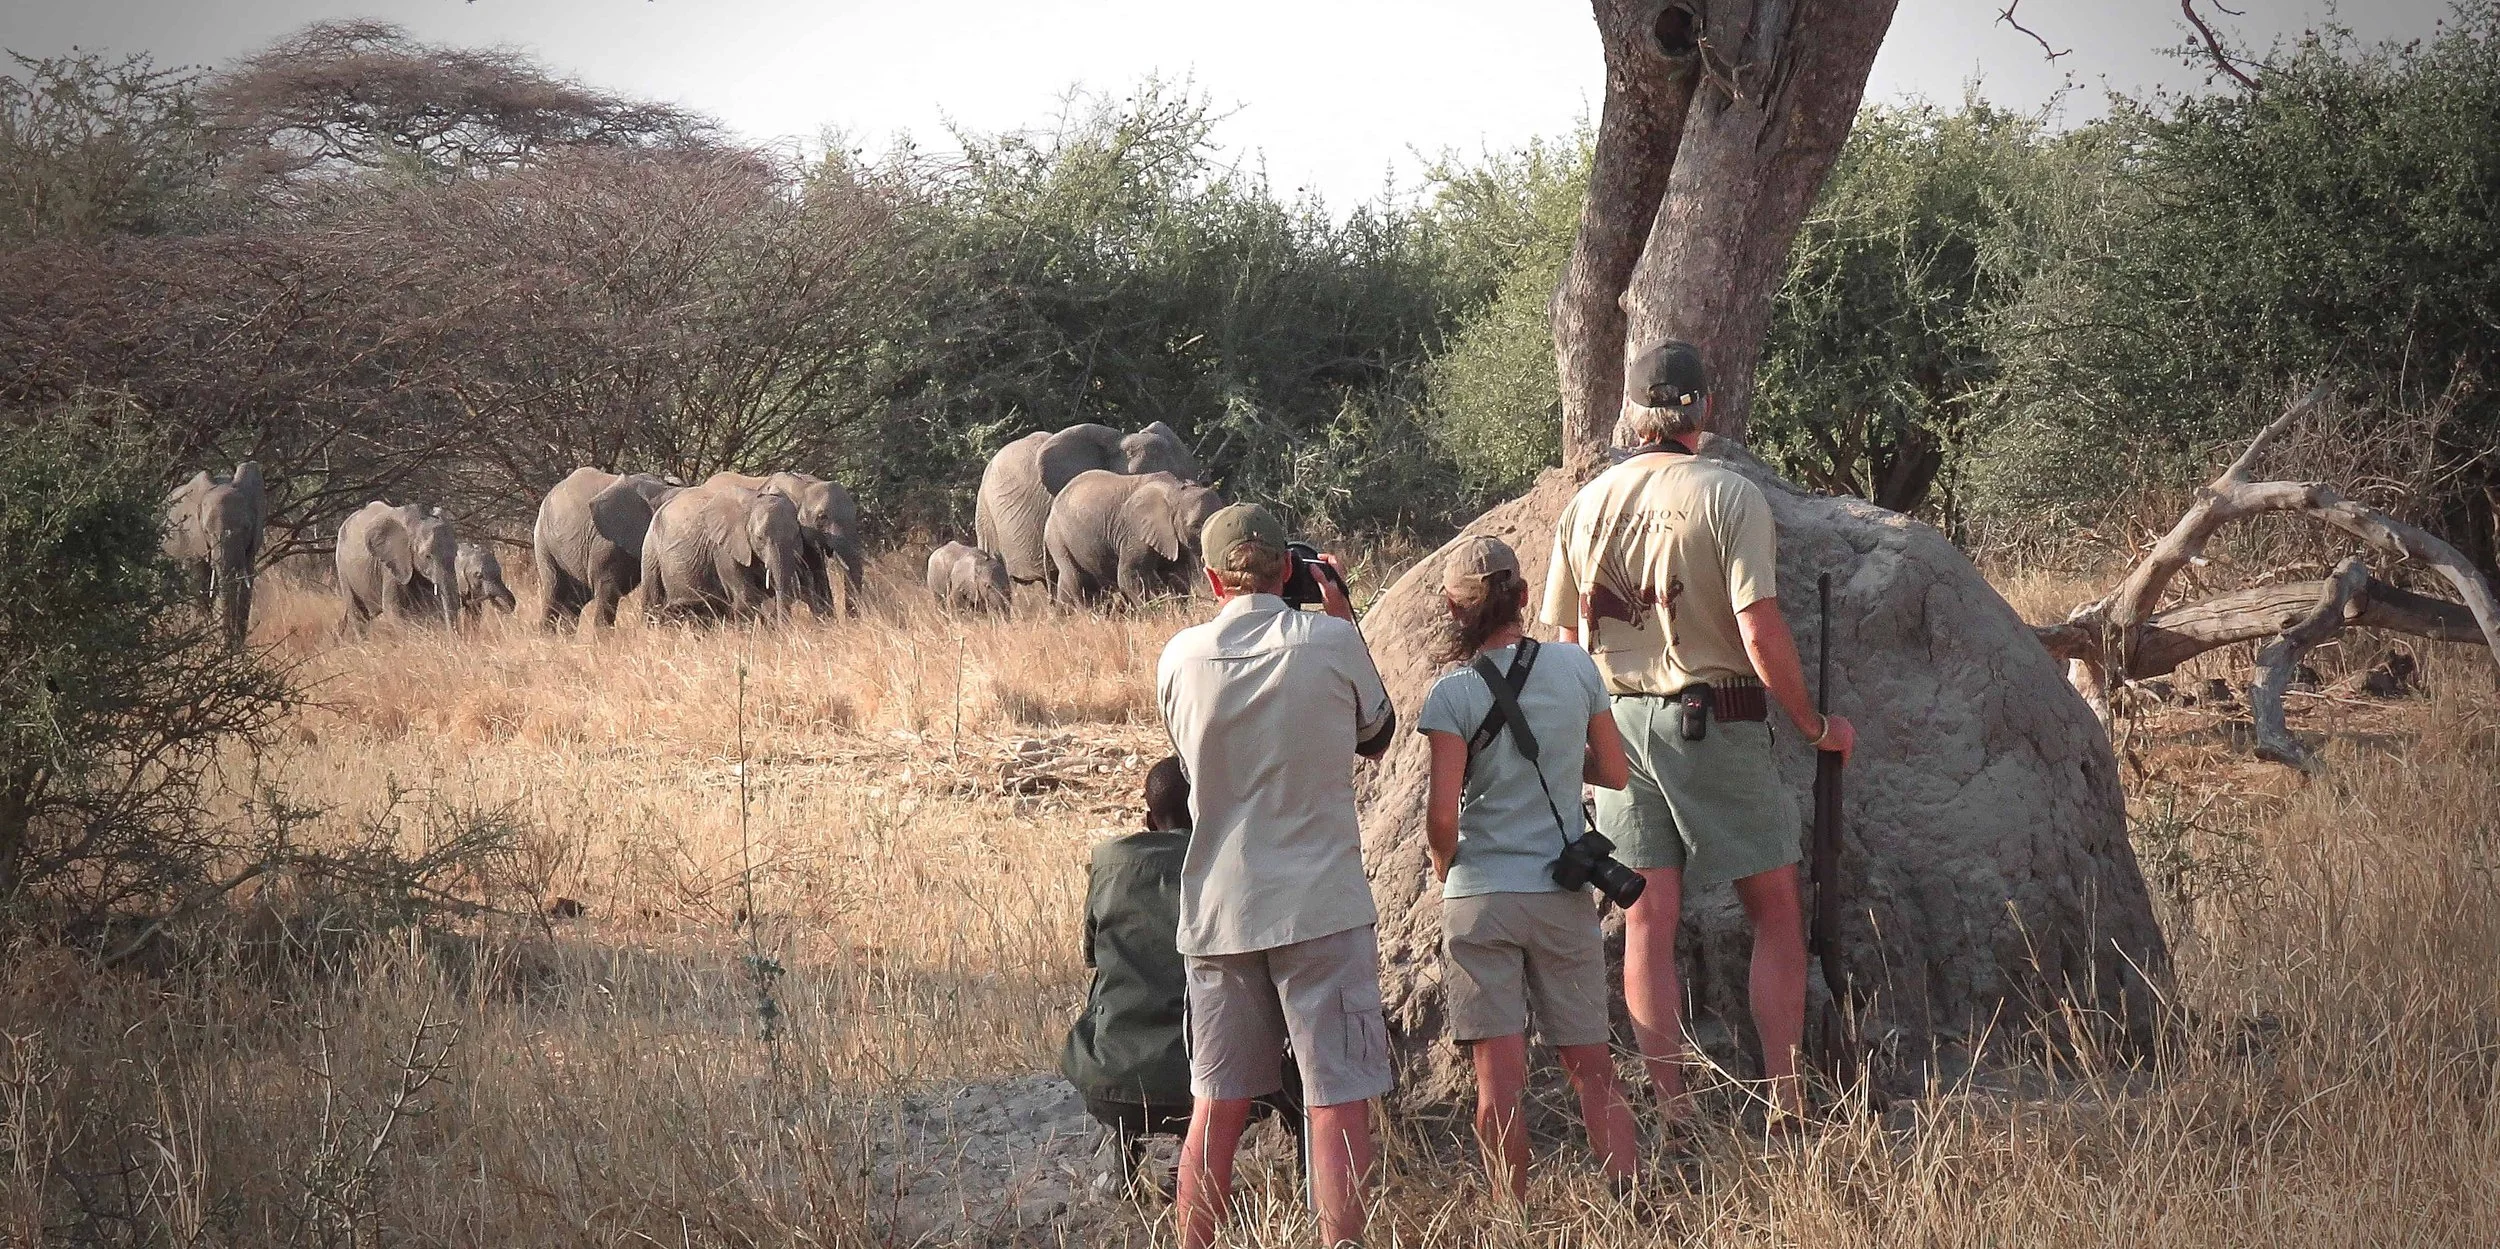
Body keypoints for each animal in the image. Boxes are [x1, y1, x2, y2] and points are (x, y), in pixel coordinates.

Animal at [162, 461, 265, 645]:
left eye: (246, 527)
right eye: (206, 531)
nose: (228, 645)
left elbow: (246, 586)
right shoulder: (192, 539)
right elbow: (198, 584)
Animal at [336, 501, 460, 632]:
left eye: (456, 554)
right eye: (427, 556)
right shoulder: (393, 563)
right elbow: (393, 609)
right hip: (342, 567)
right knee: (358, 615)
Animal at [531, 467, 682, 630]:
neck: (663, 491)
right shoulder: (605, 542)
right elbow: (608, 590)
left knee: (574, 602)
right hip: (544, 541)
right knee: (554, 592)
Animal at [640, 482, 824, 623]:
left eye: (796, 536)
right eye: (759, 538)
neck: (752, 501)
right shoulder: (723, 549)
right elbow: (746, 597)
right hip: (650, 551)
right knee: (653, 604)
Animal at [1043, 470, 1228, 608]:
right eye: (1196, 526)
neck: (1176, 491)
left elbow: (1178, 575)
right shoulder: (1134, 533)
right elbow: (1130, 575)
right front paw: (1155, 614)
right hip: (1058, 538)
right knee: (1077, 580)